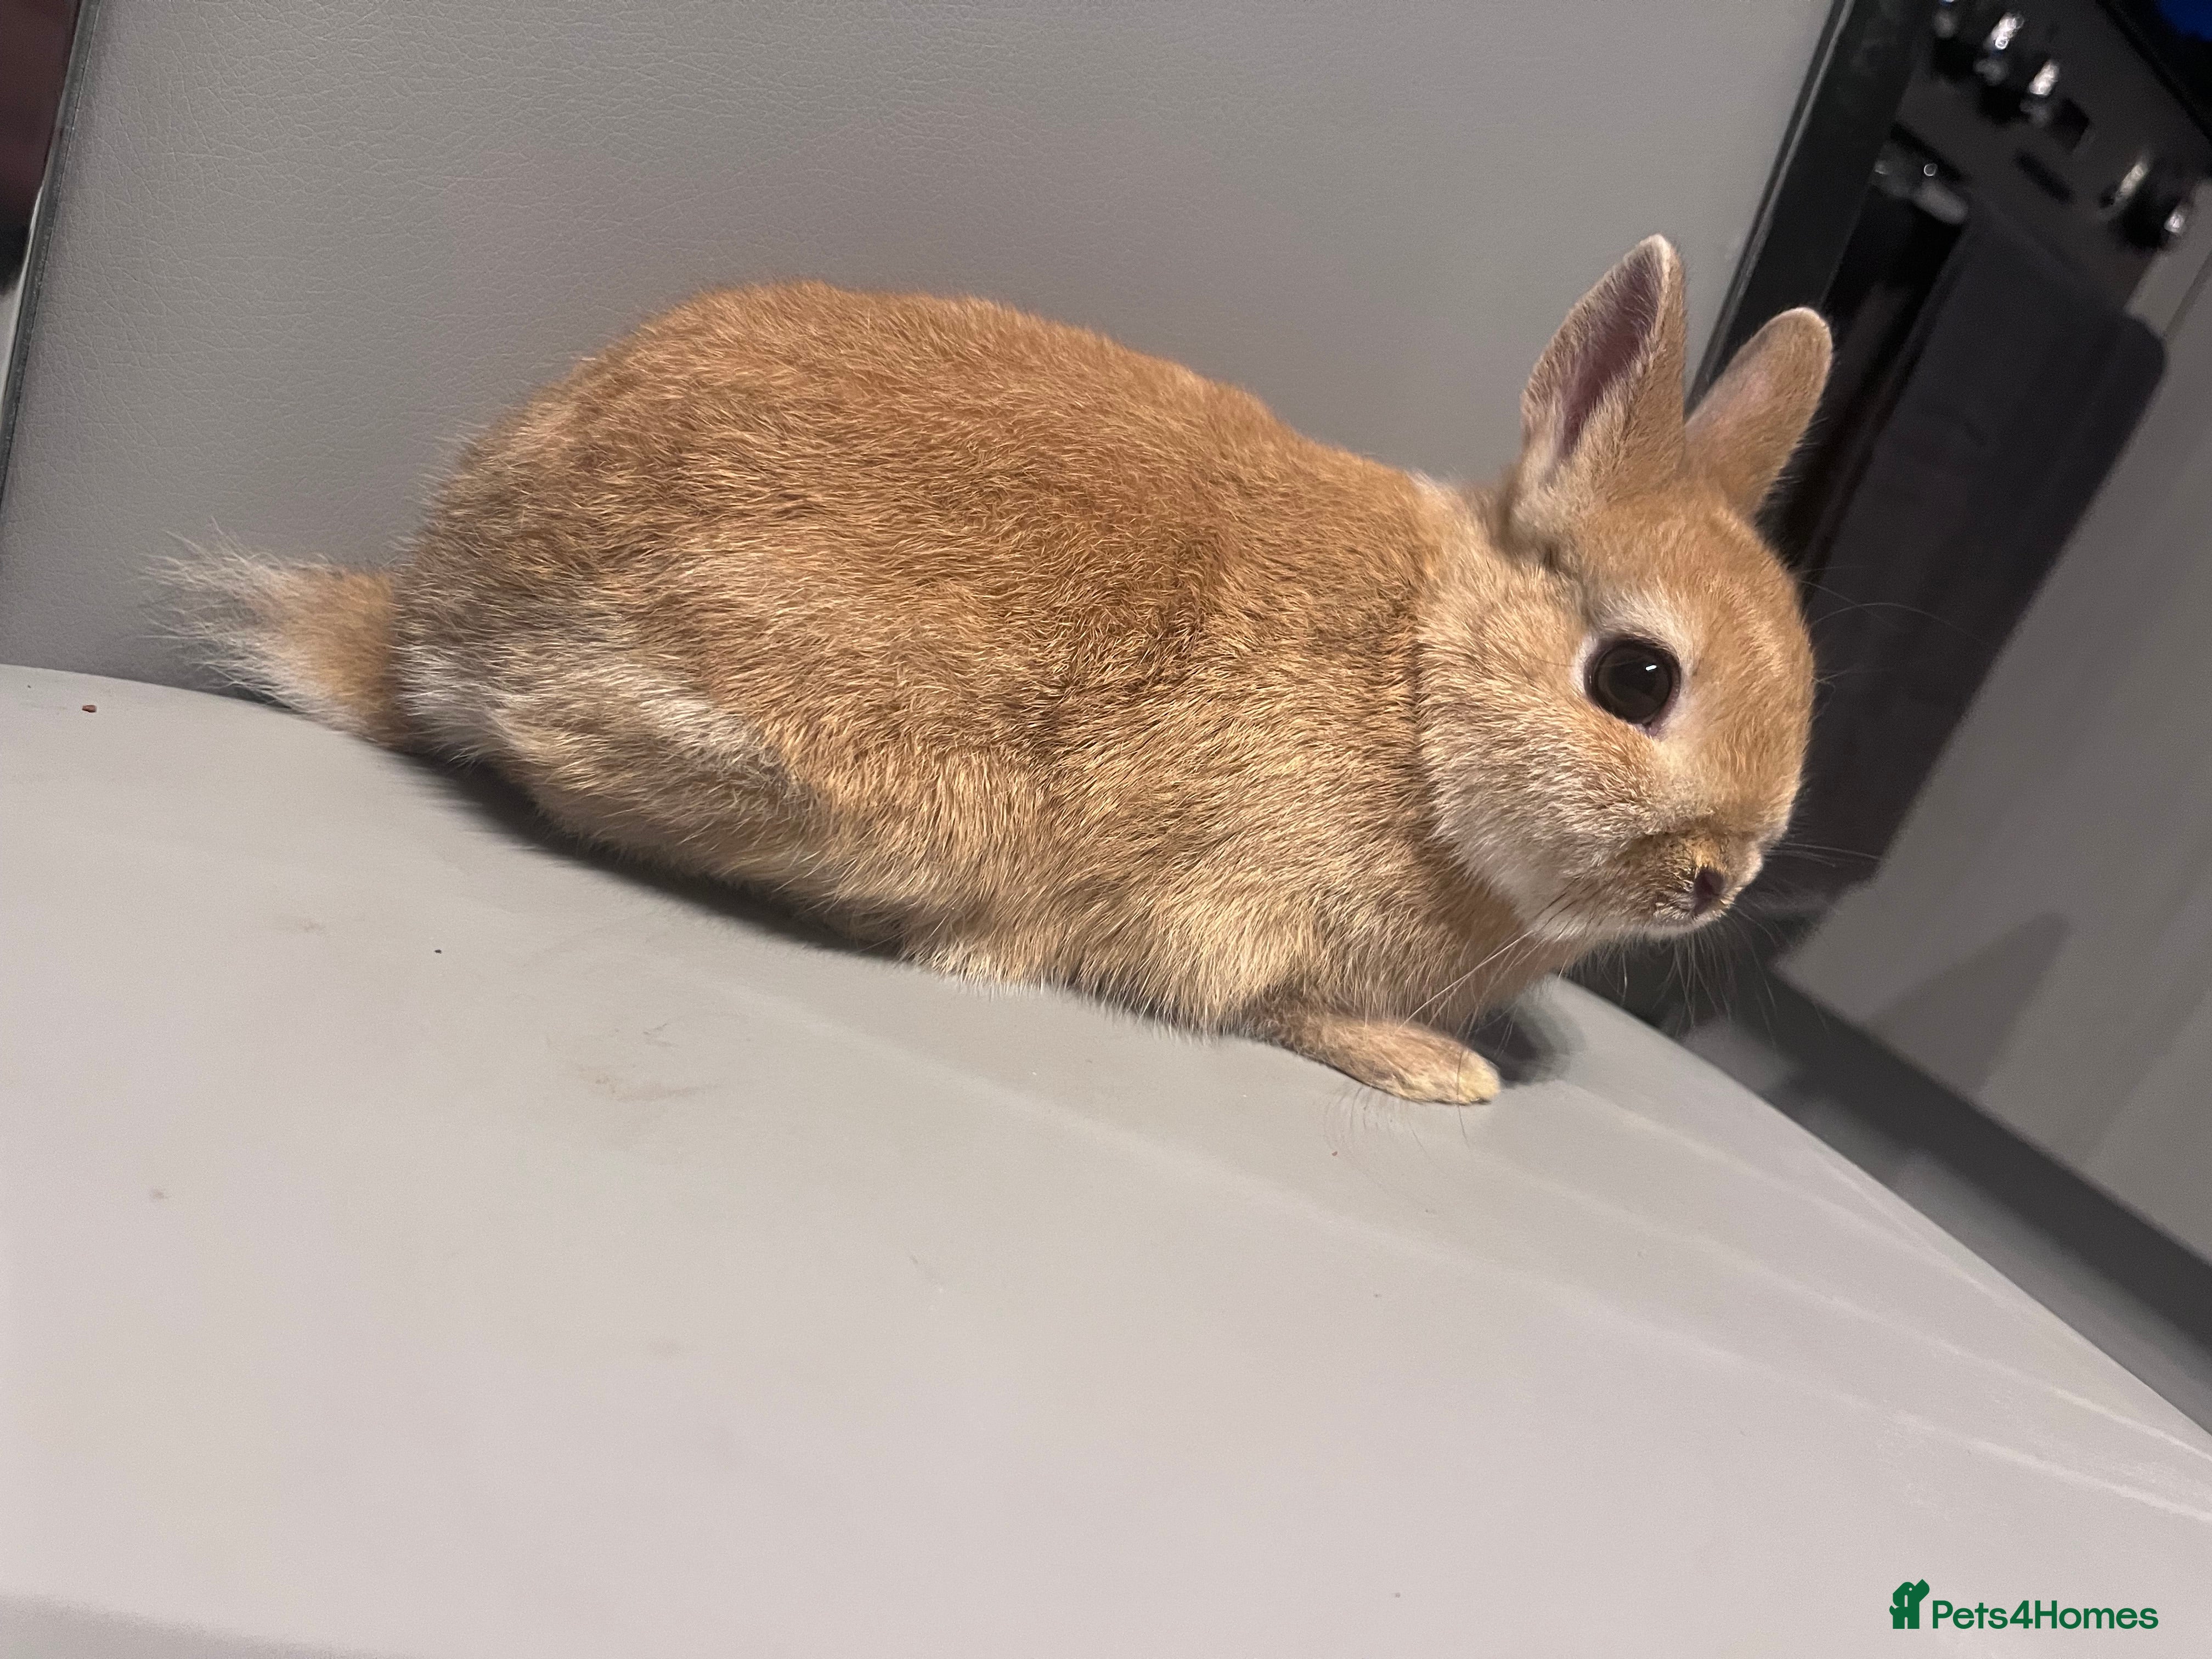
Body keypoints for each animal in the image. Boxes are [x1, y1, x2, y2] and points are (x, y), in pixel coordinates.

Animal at [177, 235, 1830, 1103]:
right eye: (1635, 680)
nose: (1720, 878)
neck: (1415, 689)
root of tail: (428, 622)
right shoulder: (1228, 913)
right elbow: (1278, 1007)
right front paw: (1440, 1070)